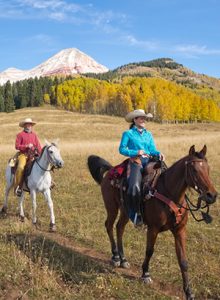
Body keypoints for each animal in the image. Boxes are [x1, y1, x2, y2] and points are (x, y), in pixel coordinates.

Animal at [87, 144, 217, 298]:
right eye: (194, 170)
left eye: (208, 169)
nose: (212, 195)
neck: (169, 194)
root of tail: (111, 170)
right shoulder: (153, 229)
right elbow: (149, 251)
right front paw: (145, 274)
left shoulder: (180, 231)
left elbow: (183, 261)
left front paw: (189, 292)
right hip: (112, 207)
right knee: (109, 226)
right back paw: (115, 256)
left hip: (126, 211)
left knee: (119, 228)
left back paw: (123, 259)